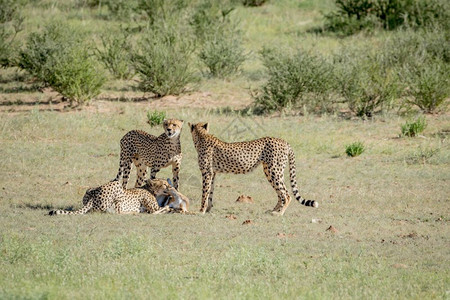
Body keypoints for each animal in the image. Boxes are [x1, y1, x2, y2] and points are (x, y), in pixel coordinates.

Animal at [188, 122, 318, 216]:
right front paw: (208, 209)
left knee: (286, 194)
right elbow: (210, 192)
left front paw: (201, 211)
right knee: (280, 193)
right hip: (270, 171)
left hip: (273, 171)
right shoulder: (213, 173)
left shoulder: (207, 173)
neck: (202, 136)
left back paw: (279, 213)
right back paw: (272, 210)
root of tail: (284, 141)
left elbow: (205, 192)